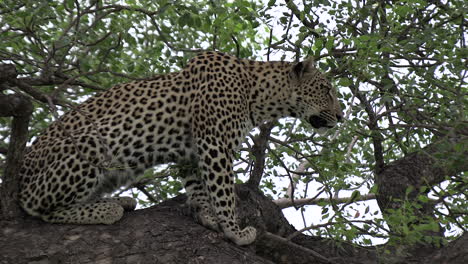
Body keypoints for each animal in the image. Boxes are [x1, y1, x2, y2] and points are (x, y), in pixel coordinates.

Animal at [18, 51, 342, 245]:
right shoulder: (214, 142)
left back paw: (119, 200)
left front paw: (207, 215)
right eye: (326, 90)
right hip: (93, 141)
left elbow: (198, 186)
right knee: (36, 206)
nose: (341, 117)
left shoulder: (191, 151)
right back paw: (107, 209)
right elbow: (224, 191)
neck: (258, 93)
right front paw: (235, 230)